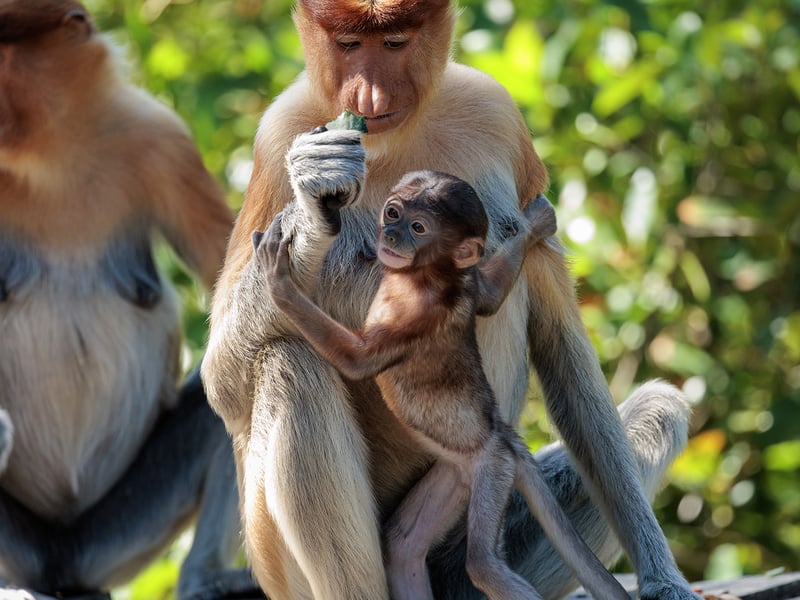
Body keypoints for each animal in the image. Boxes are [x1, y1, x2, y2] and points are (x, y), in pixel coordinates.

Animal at [258, 168, 629, 600]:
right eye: (393, 212)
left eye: (419, 228)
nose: (392, 235)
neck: (422, 275)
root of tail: (501, 434)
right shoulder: (467, 287)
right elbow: (489, 297)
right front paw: (533, 227)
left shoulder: (419, 315)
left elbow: (357, 361)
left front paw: (280, 281)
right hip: (455, 475)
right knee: (401, 545)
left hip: (491, 468)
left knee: (483, 565)